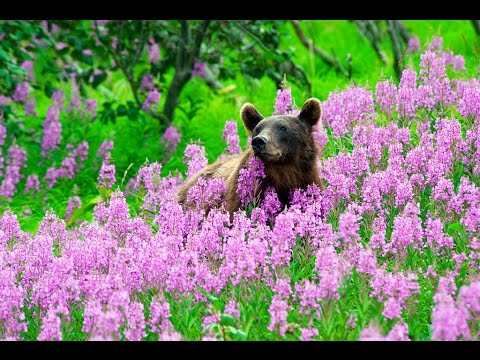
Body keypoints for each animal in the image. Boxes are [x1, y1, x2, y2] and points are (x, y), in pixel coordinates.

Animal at [177, 97, 326, 214]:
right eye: (258, 129)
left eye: (283, 127)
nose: (259, 141)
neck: (283, 171)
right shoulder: (244, 192)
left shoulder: (306, 180)